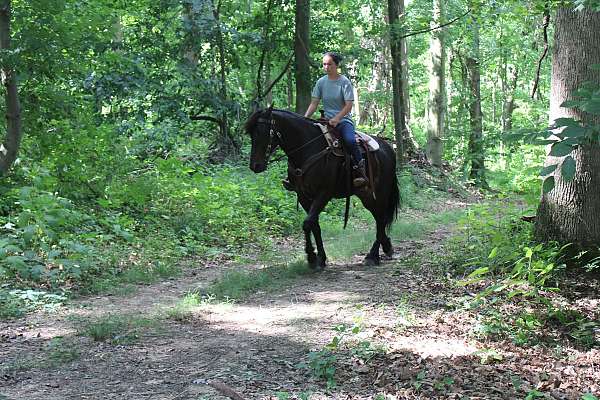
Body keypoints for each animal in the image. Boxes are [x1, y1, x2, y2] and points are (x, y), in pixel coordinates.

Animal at [244, 106, 398, 268]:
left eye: (263, 132)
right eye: (251, 134)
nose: (255, 166)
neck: (307, 149)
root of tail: (388, 148)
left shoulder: (324, 193)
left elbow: (307, 224)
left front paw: (312, 257)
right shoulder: (303, 195)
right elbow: (314, 225)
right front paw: (321, 258)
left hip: (380, 193)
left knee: (381, 220)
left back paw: (373, 255)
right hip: (366, 195)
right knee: (379, 218)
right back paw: (386, 247)